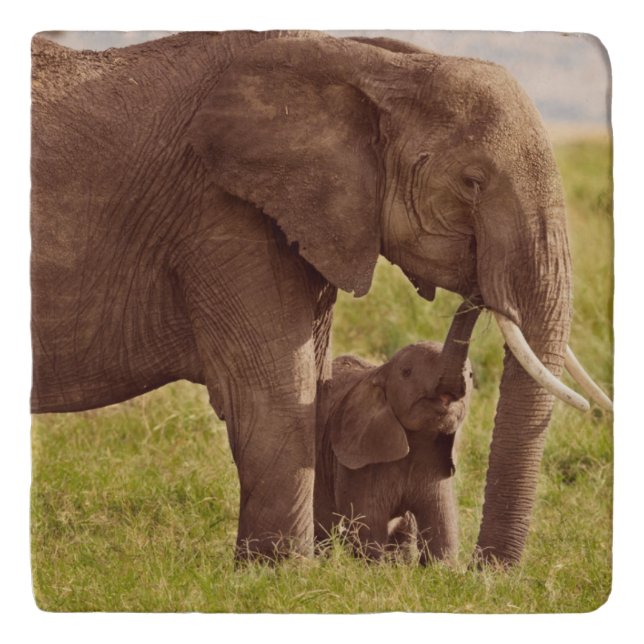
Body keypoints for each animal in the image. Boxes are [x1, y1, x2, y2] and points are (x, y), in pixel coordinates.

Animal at [314, 301, 479, 564]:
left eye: (471, 376)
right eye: (407, 372)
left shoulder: (436, 462)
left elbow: (442, 529)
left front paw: (442, 568)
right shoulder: (359, 465)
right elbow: (369, 527)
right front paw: (373, 566)